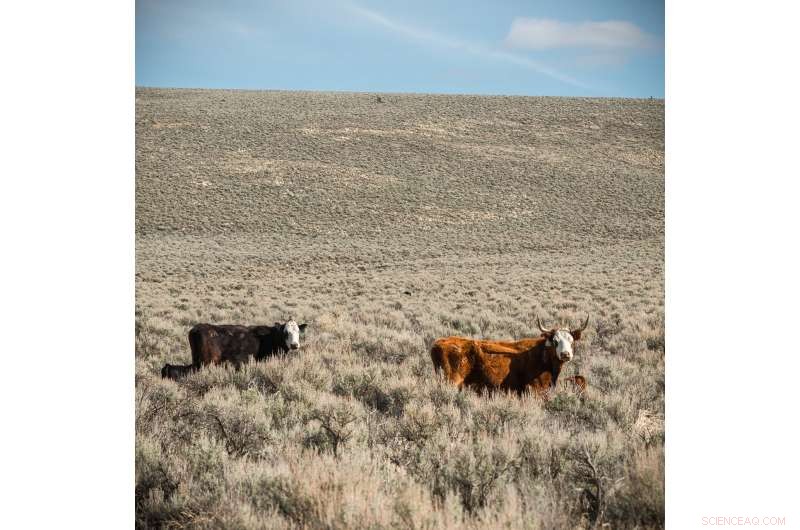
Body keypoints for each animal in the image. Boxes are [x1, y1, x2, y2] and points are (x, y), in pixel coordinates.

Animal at [430, 315, 589, 397]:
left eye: (571, 341)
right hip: (451, 381)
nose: (565, 354)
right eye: (555, 341)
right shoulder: (534, 389)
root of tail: (438, 343)